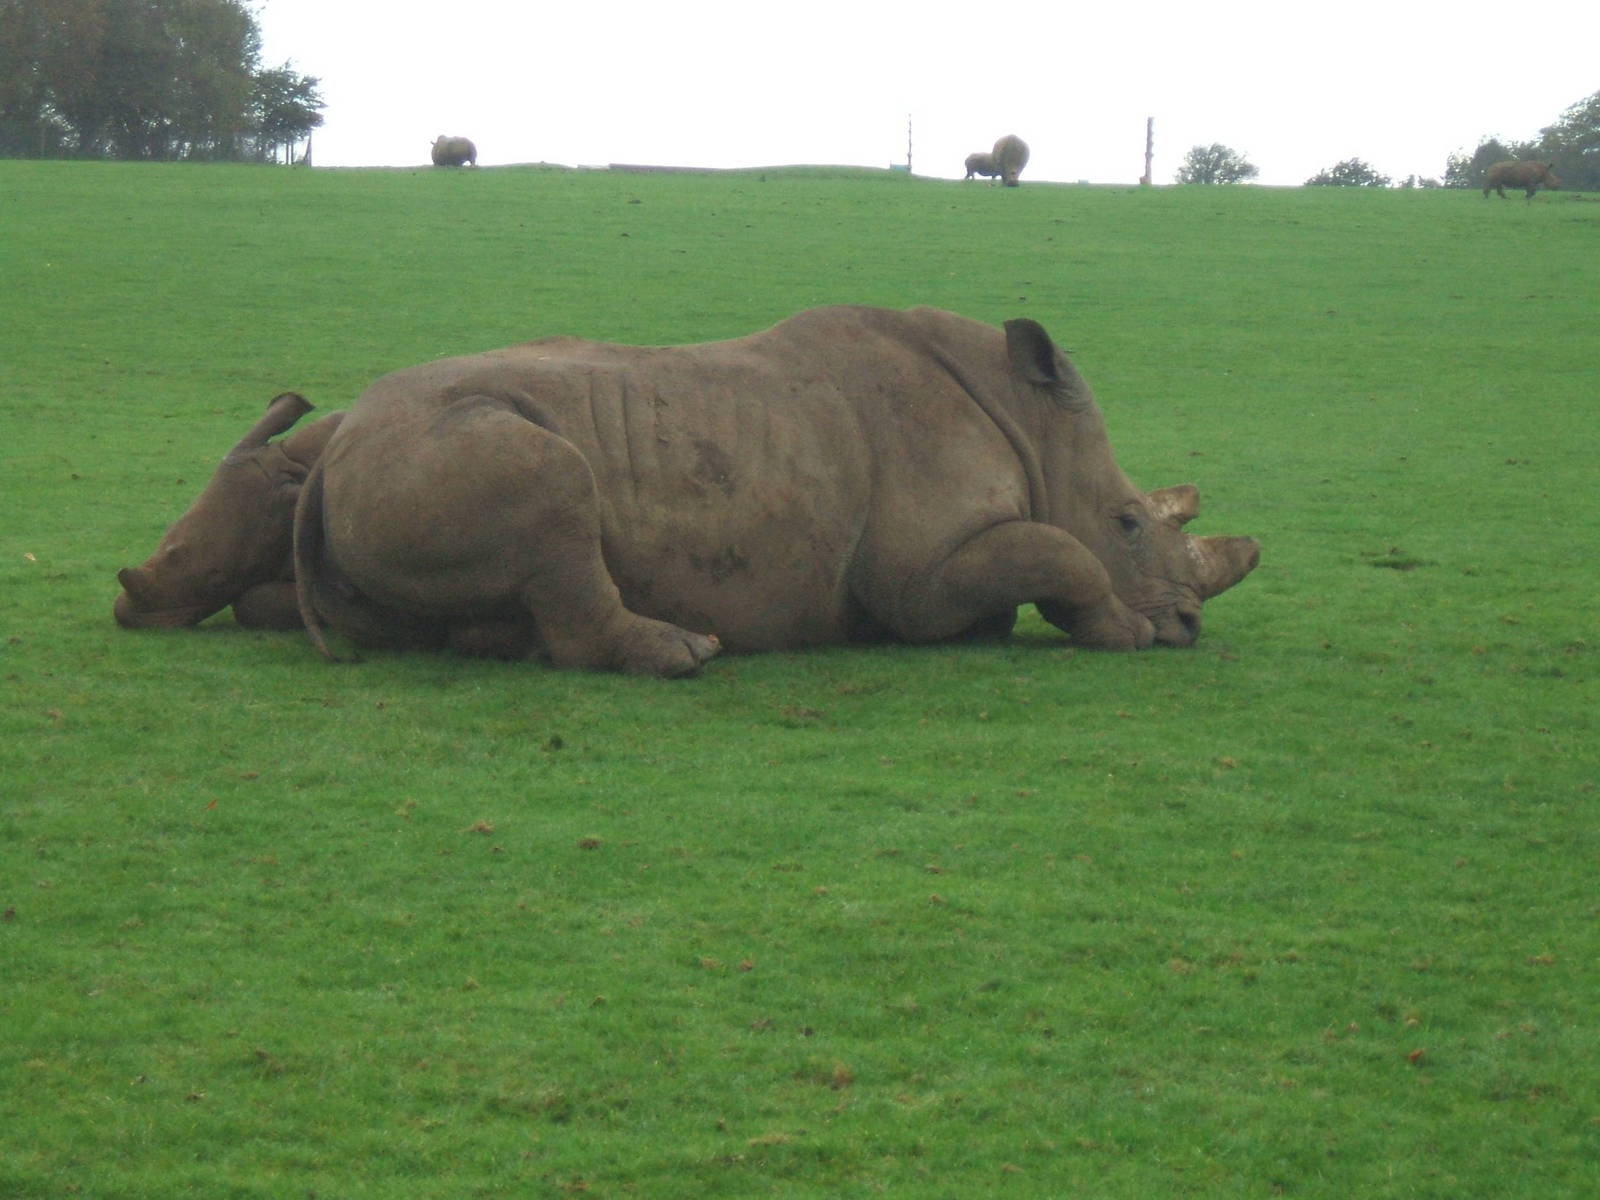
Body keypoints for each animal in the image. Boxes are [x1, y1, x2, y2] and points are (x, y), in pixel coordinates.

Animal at [292, 306, 1258, 677]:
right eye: (1127, 523)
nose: (1187, 626)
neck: (1029, 419)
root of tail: (338, 445)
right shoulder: (914, 578)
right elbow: (1055, 549)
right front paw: (1126, 632)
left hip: (397, 460)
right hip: (430, 444)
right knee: (558, 483)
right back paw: (688, 654)